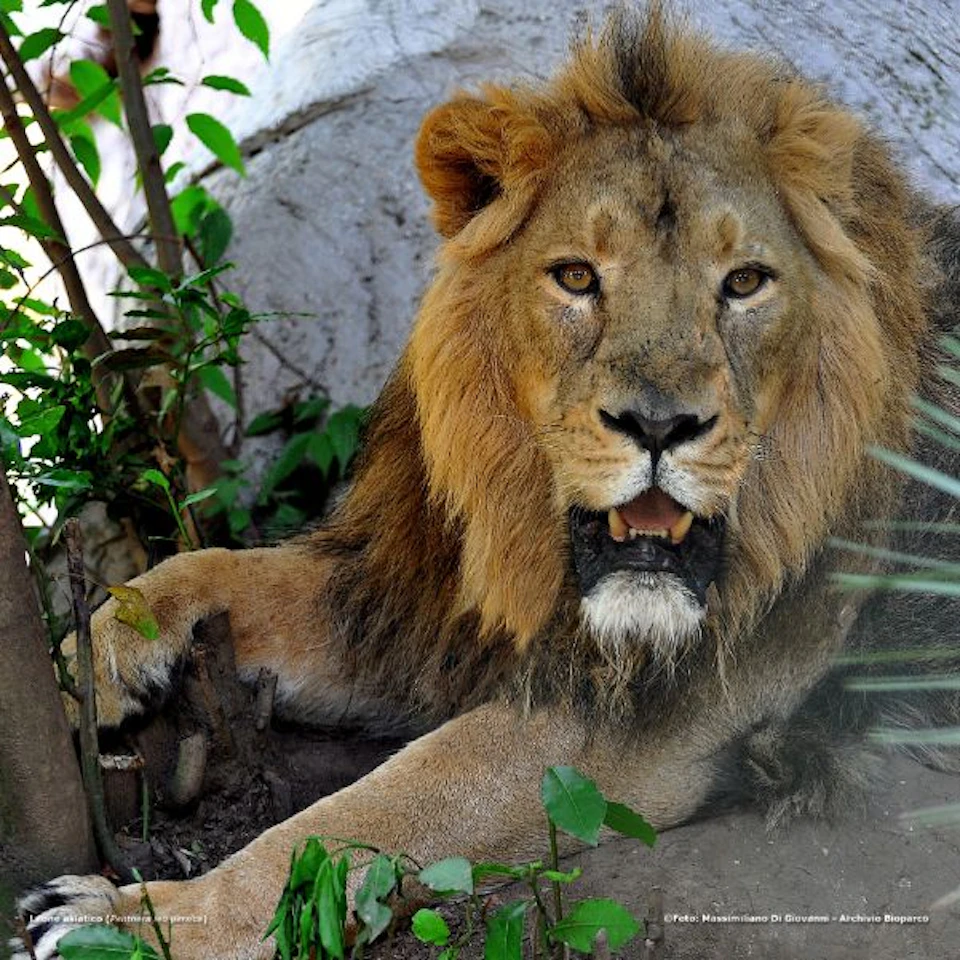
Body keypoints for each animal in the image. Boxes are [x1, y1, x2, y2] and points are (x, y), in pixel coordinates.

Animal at [14, 8, 960, 960]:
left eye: (744, 283)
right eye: (577, 276)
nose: (660, 426)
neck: (543, 552)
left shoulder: (629, 730)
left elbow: (370, 814)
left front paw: (139, 921)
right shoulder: (414, 606)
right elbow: (206, 570)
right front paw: (80, 667)